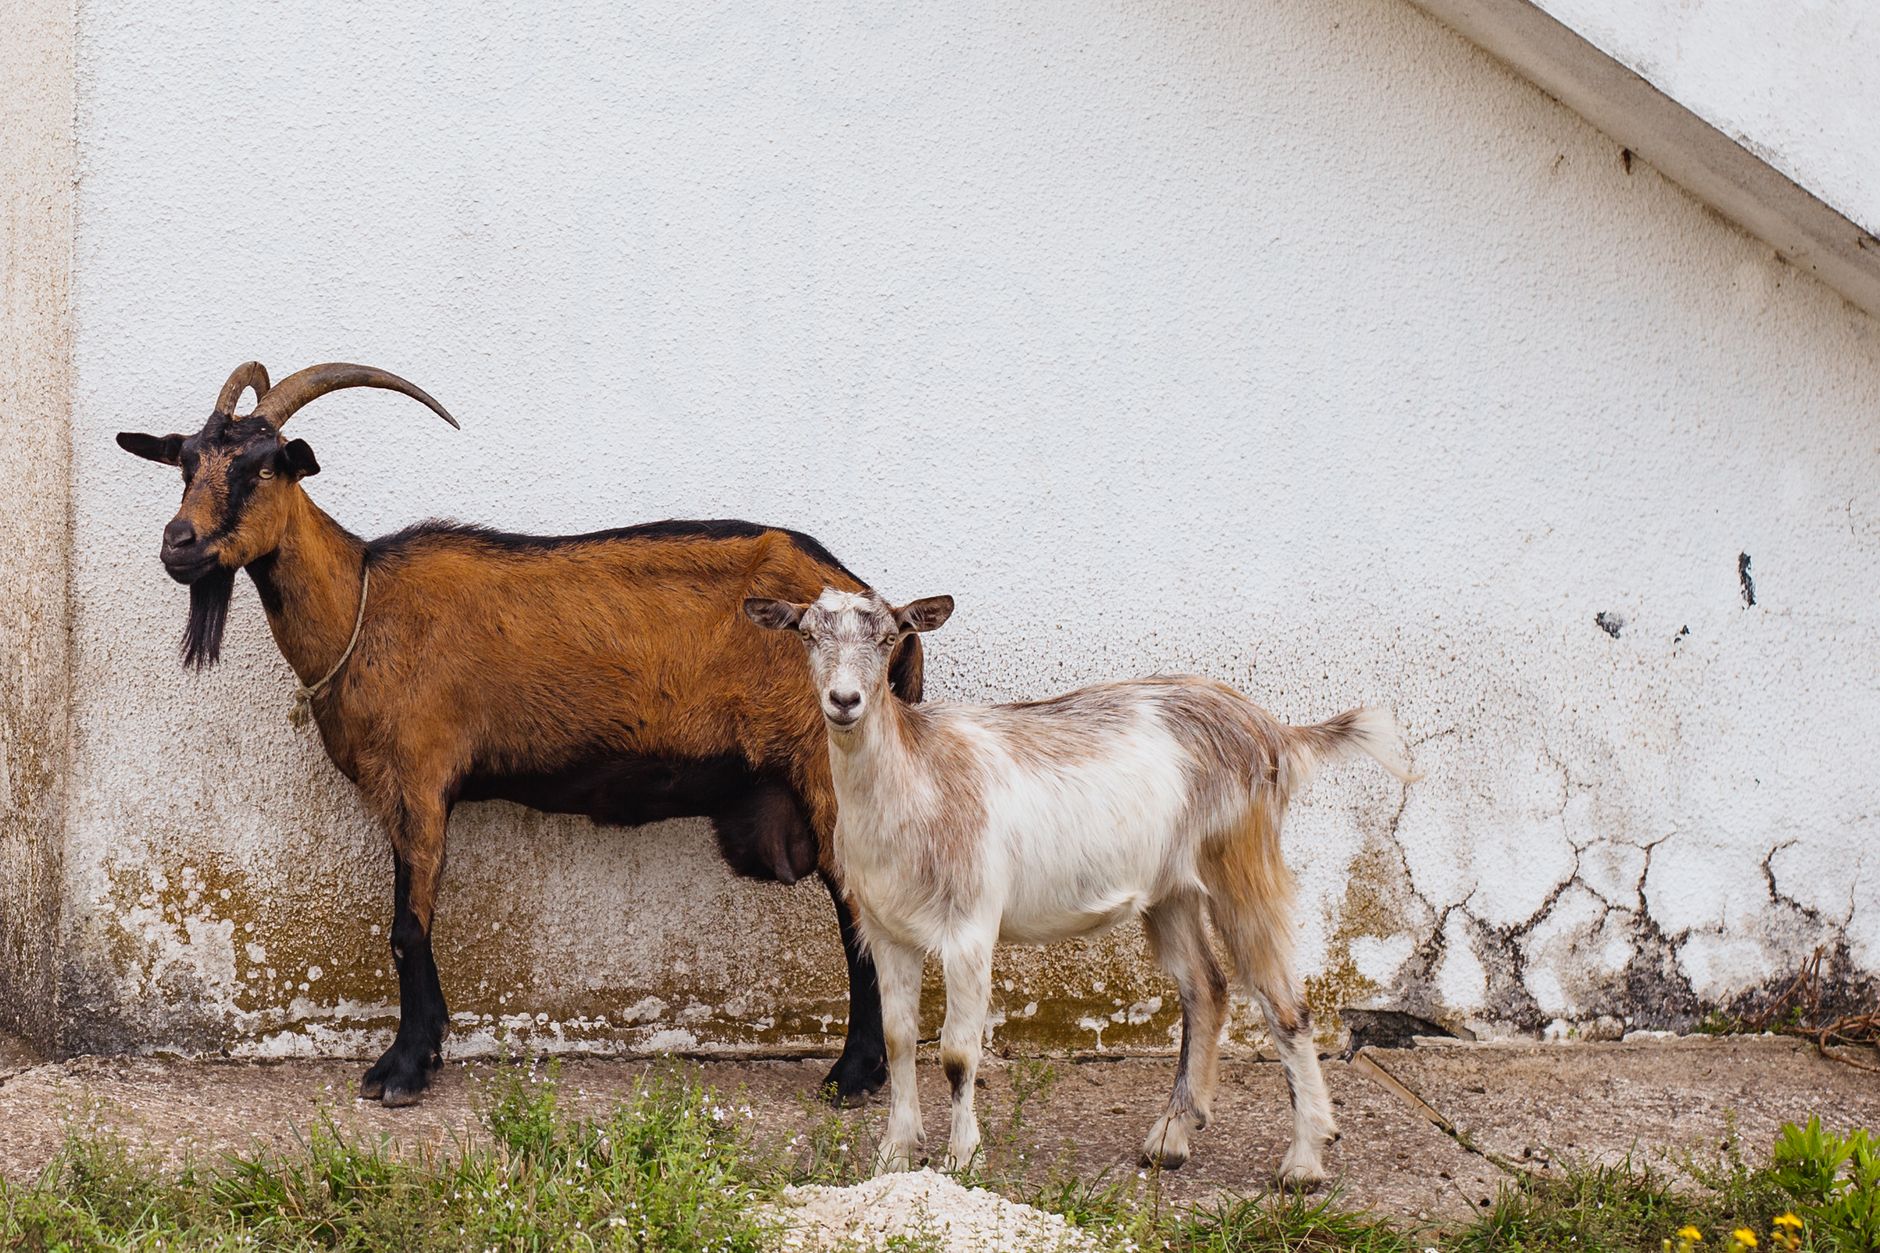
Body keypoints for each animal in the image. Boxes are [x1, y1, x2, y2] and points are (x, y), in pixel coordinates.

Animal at [116, 362, 921, 1106]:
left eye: (261, 466)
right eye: (186, 462)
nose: (179, 545)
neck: (362, 604)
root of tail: (883, 610)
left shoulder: (418, 776)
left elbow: (407, 928)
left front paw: (399, 1071)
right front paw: (426, 1048)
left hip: (827, 766)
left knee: (862, 915)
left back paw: (853, 1075)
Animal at [744, 588, 1417, 1185]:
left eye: (888, 638)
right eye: (807, 635)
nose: (845, 700)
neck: (917, 782)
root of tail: (1274, 731)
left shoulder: (970, 930)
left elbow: (957, 1053)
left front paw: (963, 1161)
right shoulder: (888, 931)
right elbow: (899, 1039)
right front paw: (893, 1154)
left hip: (1241, 861)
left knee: (1285, 1005)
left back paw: (1303, 1162)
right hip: (1170, 890)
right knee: (1206, 987)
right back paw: (1171, 1138)